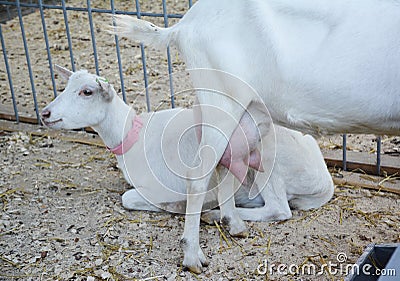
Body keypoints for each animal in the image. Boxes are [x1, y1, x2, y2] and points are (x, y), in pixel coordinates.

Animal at [40, 65, 334, 272]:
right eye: (65, 86)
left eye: (87, 92)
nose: (45, 113)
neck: (131, 135)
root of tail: (325, 180)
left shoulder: (159, 186)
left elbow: (129, 198)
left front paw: (177, 206)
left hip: (269, 163)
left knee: (279, 209)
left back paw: (214, 214)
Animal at [112, 0, 400, 272]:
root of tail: (184, 25)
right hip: (225, 104)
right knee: (203, 179)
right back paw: (193, 255)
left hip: (246, 115)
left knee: (226, 166)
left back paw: (230, 222)